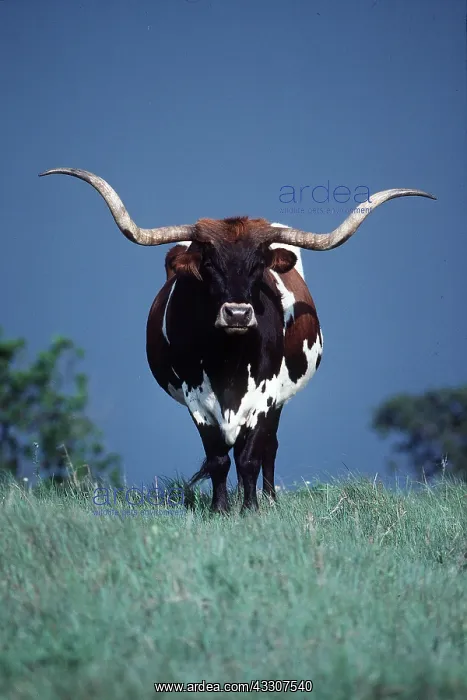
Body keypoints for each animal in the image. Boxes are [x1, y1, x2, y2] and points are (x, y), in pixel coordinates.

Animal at [39, 168, 435, 512]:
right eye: (209, 263)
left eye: (259, 265)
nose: (238, 314)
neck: (228, 360)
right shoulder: (196, 399)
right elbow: (217, 459)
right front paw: (220, 509)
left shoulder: (265, 397)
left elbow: (249, 458)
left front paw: (251, 509)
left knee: (269, 448)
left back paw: (270, 499)